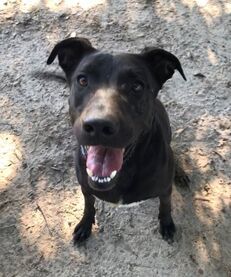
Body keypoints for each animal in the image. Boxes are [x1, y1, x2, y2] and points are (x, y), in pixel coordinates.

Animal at [47, 37, 186, 244]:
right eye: (82, 80)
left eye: (137, 86)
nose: (99, 125)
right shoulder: (85, 187)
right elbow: (89, 205)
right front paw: (85, 224)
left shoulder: (165, 189)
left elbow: (166, 206)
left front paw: (167, 224)